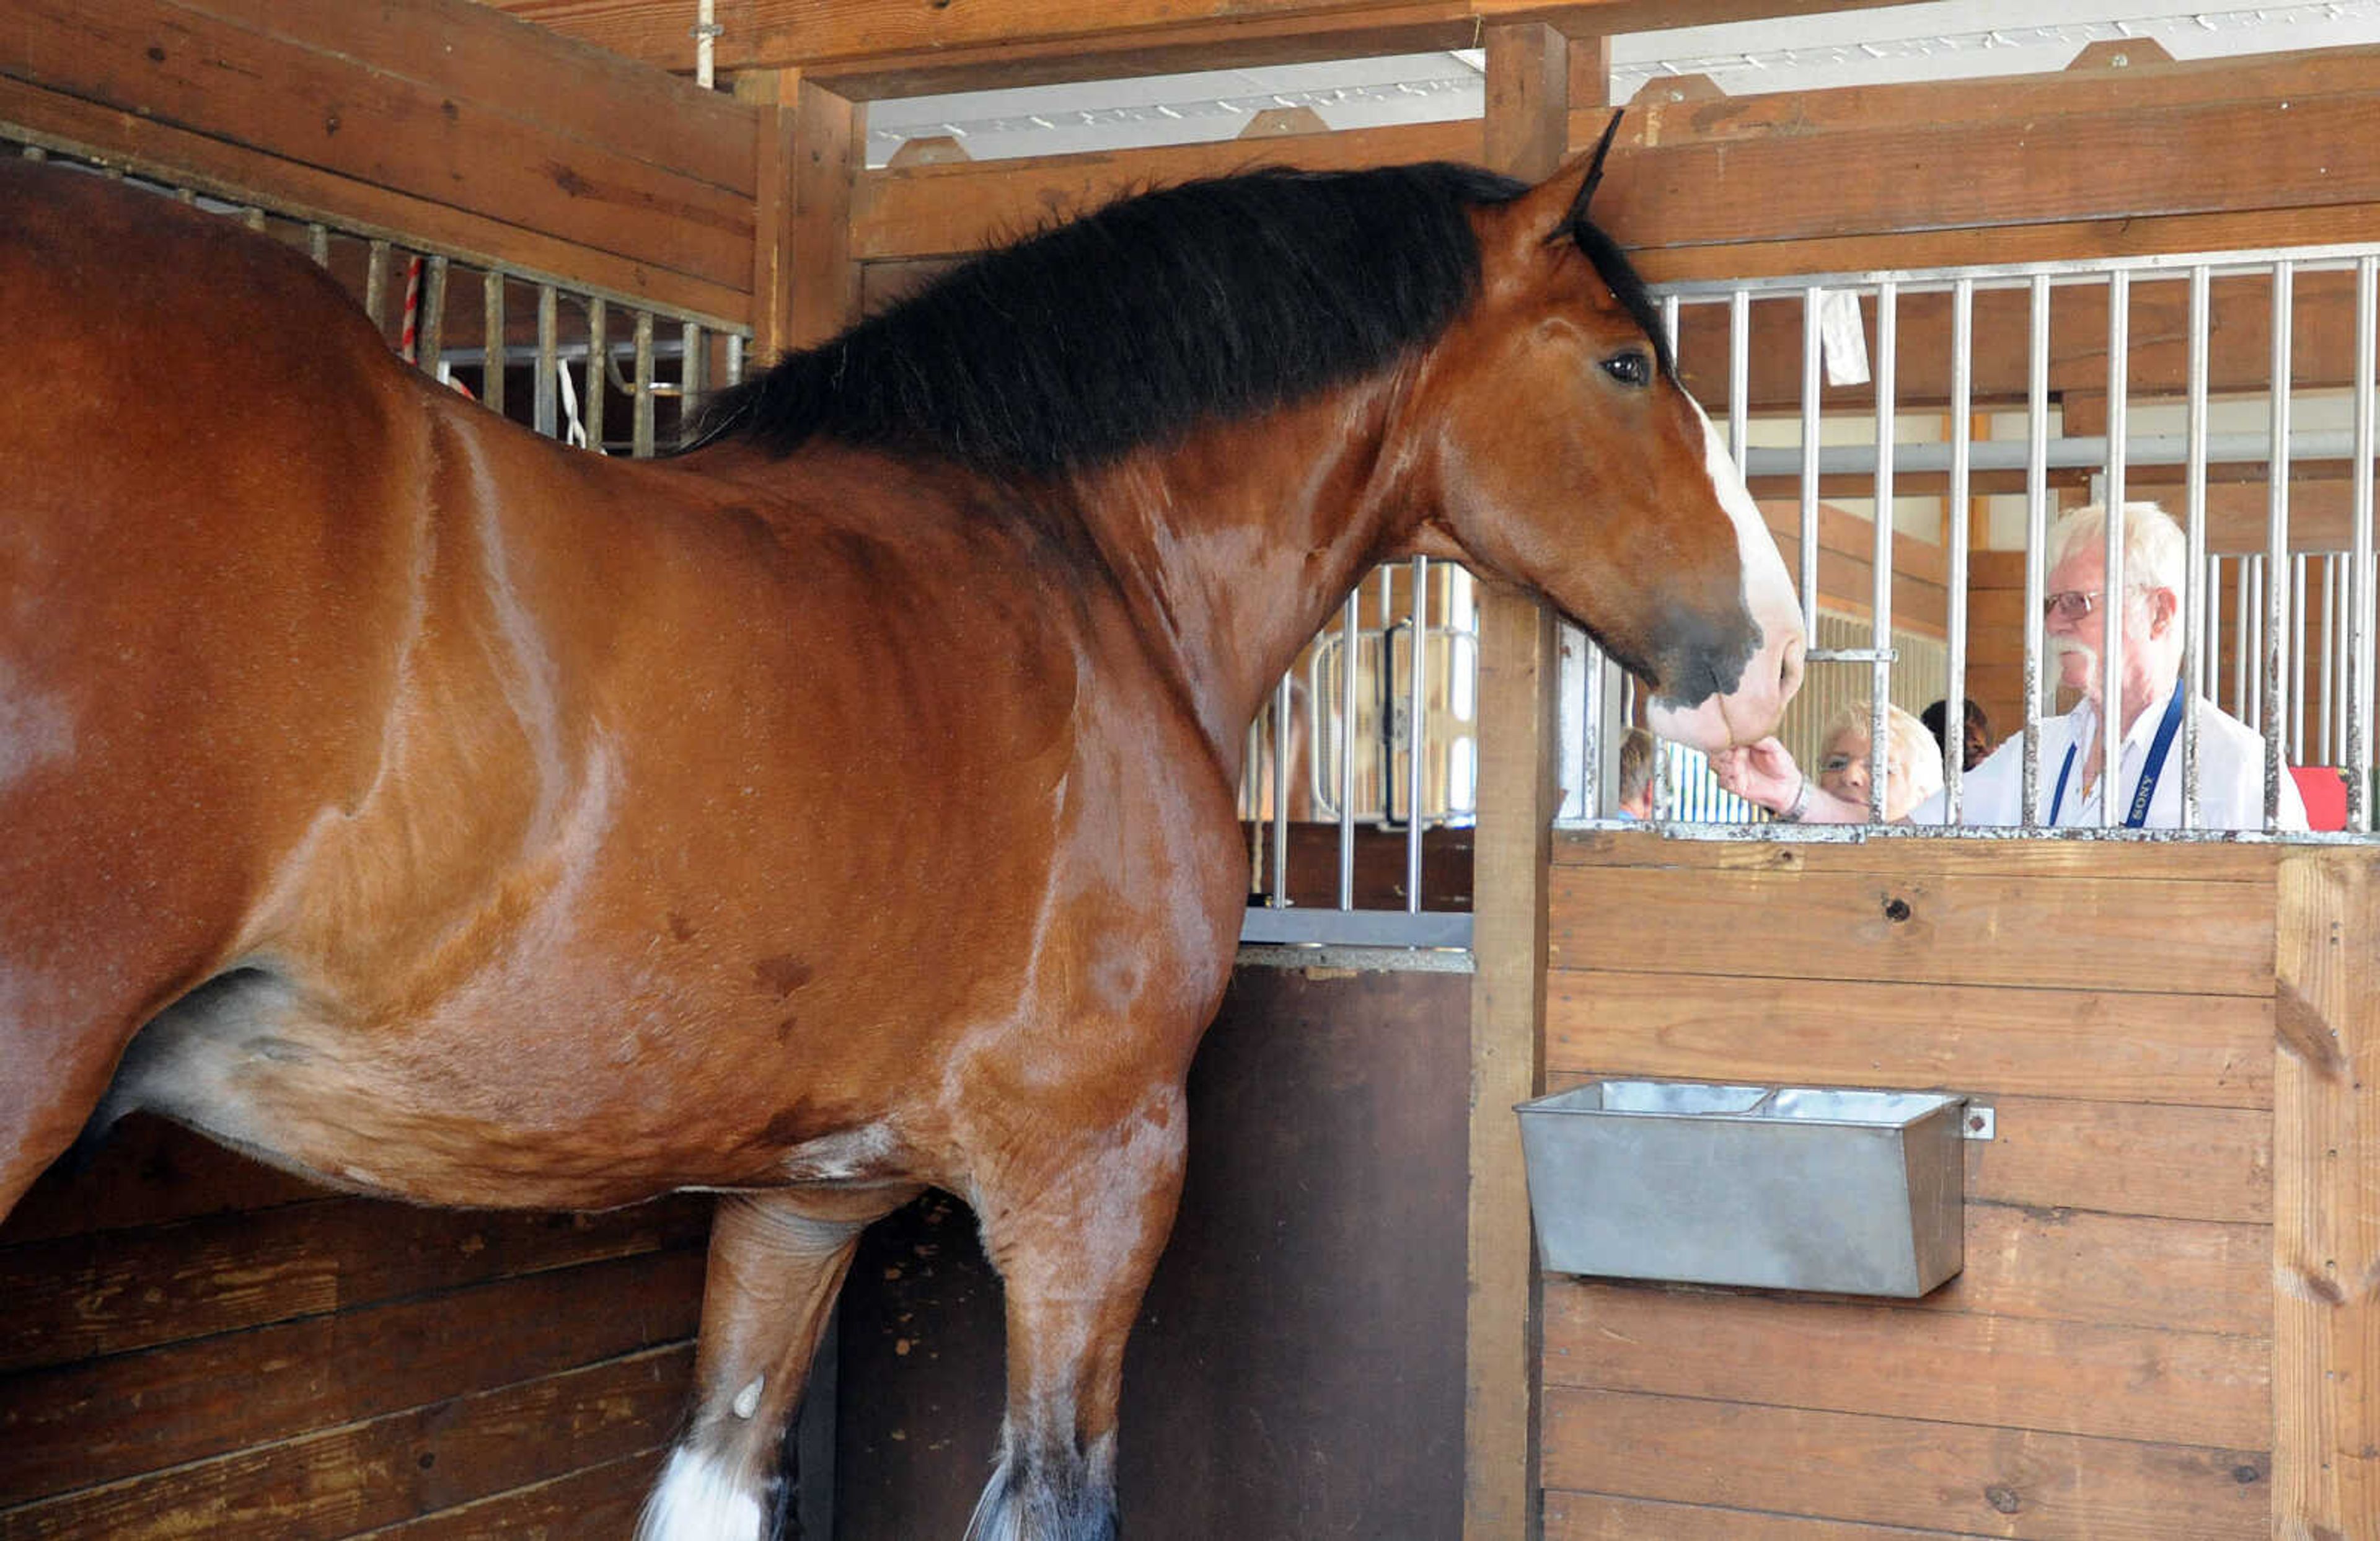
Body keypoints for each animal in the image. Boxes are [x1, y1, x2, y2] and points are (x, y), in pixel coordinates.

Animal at [0, 120, 1789, 1541]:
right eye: (1625, 365)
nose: (1773, 656)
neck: (1081, 556)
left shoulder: (804, 1200)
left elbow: (716, 1479)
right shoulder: (1095, 1174)